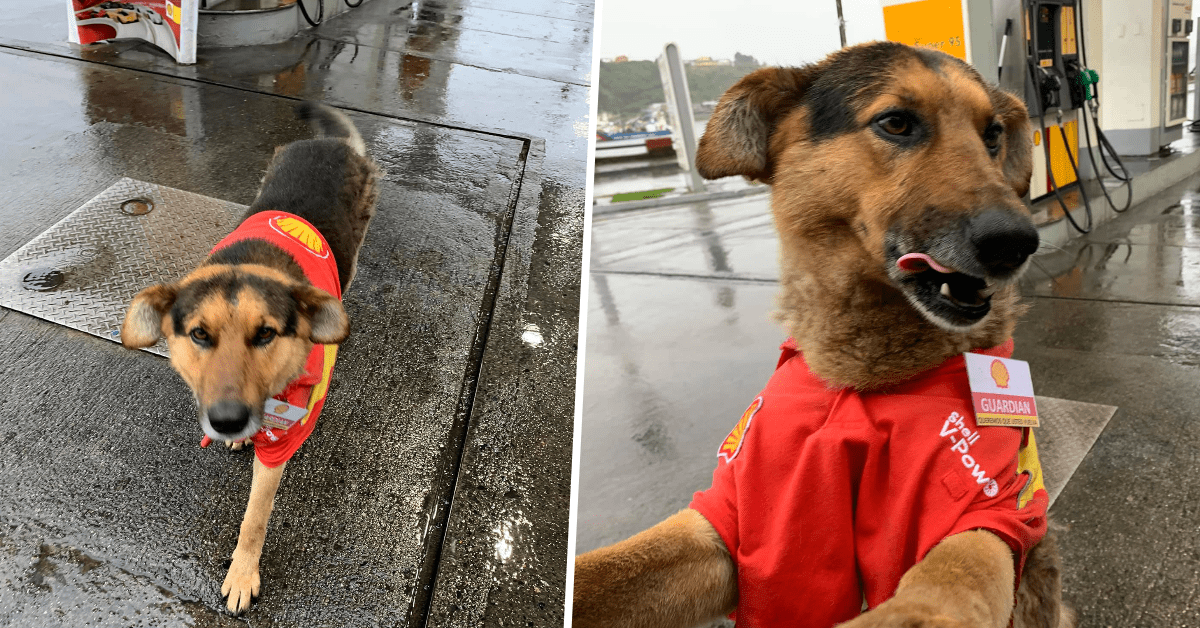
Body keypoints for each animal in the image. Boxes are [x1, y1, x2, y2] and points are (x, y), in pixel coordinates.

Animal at [118, 102, 376, 614]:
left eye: (266, 334)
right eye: (199, 334)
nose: (228, 421)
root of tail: (331, 143)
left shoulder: (281, 442)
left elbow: (254, 518)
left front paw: (242, 573)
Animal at [576, 42, 1075, 628]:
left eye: (992, 133)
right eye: (897, 122)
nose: (1017, 243)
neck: (859, 380)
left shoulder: (986, 508)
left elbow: (947, 586)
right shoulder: (730, 520)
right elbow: (605, 573)